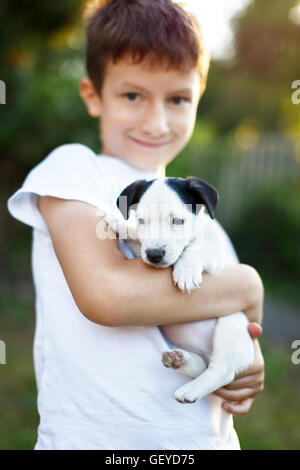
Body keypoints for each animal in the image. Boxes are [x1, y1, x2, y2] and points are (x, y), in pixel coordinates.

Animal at [99, 177, 254, 404]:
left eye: (178, 221)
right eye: (142, 221)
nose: (154, 255)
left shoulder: (216, 254)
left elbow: (196, 249)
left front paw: (186, 271)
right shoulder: (141, 249)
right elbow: (138, 239)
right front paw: (121, 224)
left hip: (231, 324)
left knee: (222, 370)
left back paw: (190, 390)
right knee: (202, 366)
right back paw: (182, 361)